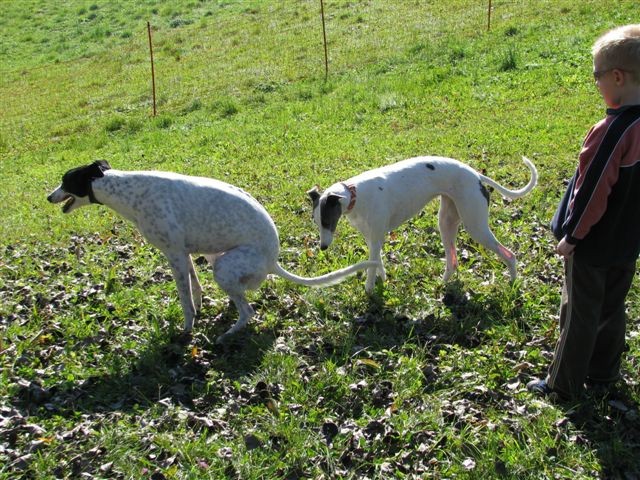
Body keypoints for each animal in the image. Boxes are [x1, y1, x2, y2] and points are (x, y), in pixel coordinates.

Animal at [48, 161, 380, 342]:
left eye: (65, 181)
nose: (48, 196)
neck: (128, 190)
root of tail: (273, 261)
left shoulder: (174, 255)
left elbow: (184, 299)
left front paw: (187, 329)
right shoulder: (182, 254)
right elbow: (195, 289)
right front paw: (199, 310)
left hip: (222, 268)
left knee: (248, 311)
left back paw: (228, 333)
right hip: (213, 258)